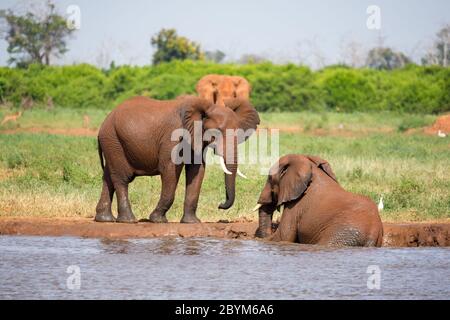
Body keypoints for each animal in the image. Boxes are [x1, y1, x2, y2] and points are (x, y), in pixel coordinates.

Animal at [95, 96, 260, 224]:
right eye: (216, 132)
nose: (220, 205)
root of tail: (104, 122)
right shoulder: (173, 137)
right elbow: (170, 170)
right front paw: (157, 220)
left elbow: (197, 170)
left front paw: (192, 222)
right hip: (113, 140)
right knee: (121, 178)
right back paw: (128, 220)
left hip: (112, 142)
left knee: (108, 177)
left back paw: (104, 219)